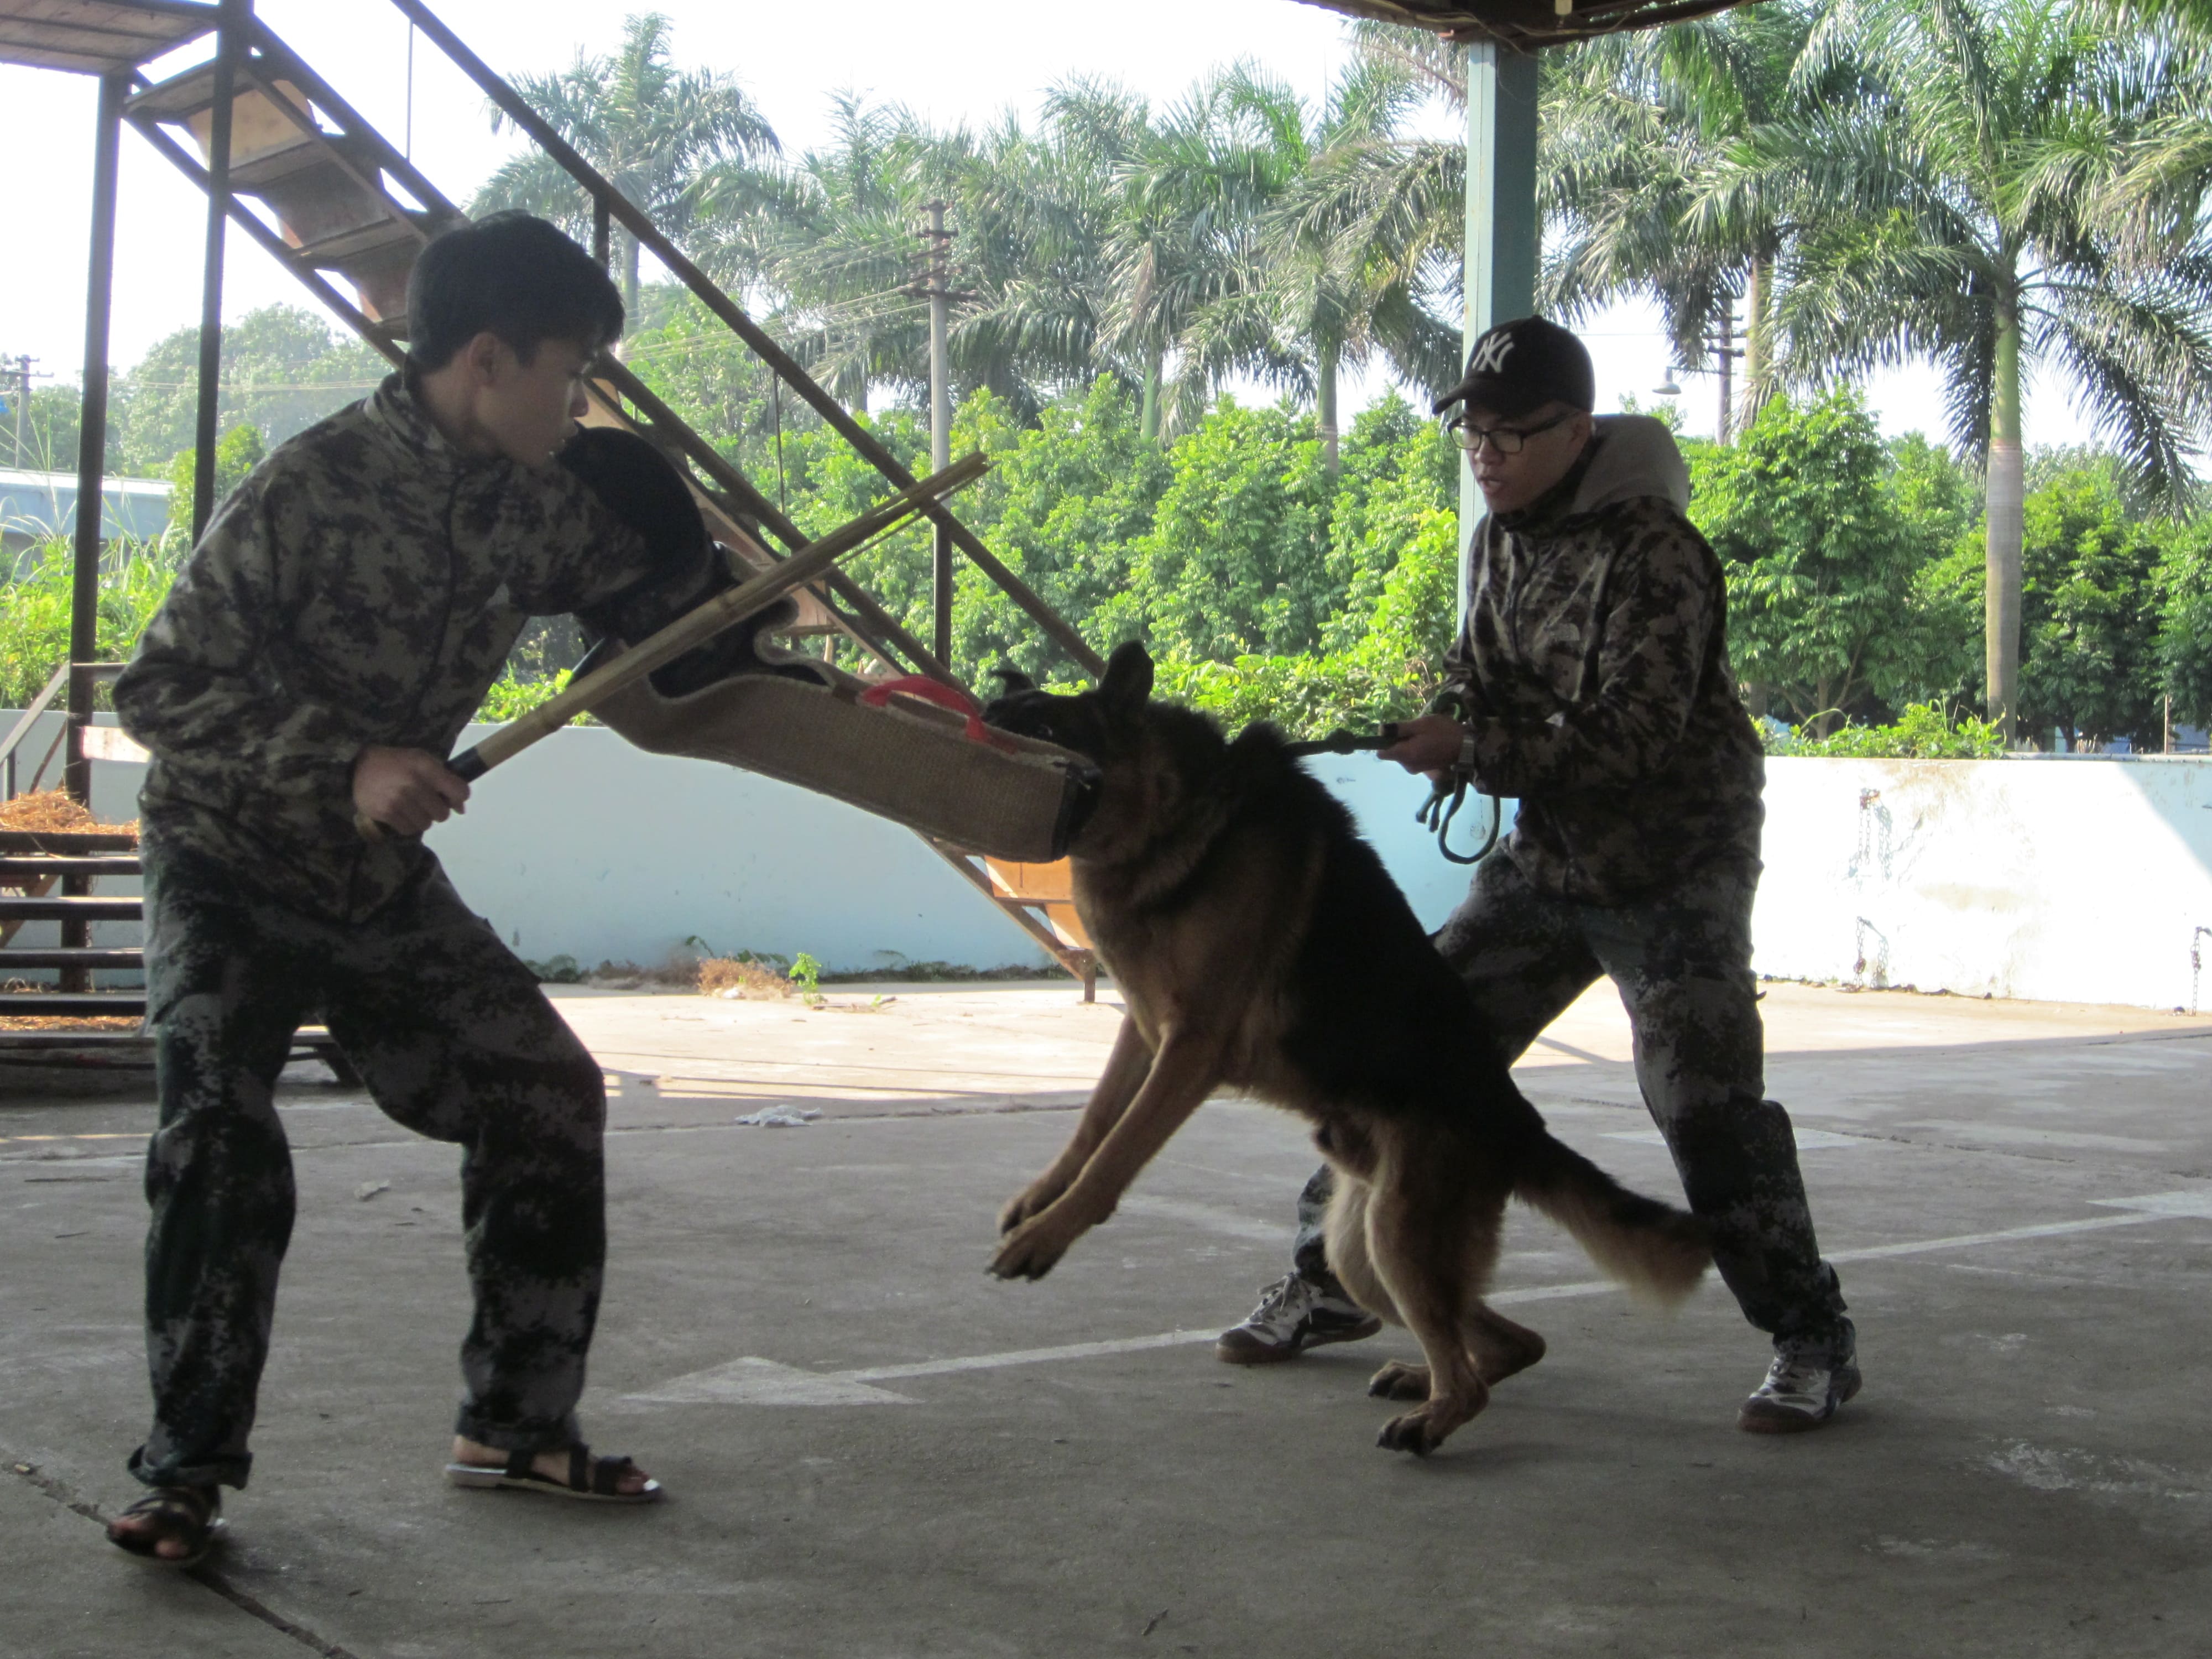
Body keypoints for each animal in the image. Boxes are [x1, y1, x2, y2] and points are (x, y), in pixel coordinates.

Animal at [982, 641, 1708, 1460]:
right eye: (995, 715)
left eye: (1046, 729)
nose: (977, 731)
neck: (1171, 814)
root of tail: (1516, 1123)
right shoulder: (1142, 1029)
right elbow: (1093, 1123)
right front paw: (1041, 1199)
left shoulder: (1190, 1048)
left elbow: (1116, 1153)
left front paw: (1048, 1235)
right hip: (1363, 1254)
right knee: (1507, 1340)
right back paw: (1424, 1381)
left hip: (1395, 1237)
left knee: (1473, 1372)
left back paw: (1432, 1419)